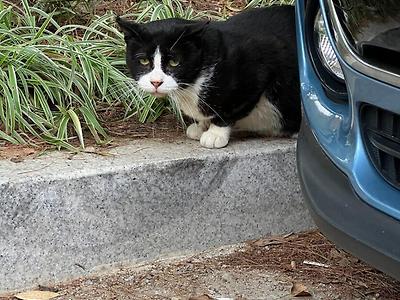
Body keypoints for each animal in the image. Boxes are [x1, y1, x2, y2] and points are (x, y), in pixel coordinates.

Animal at [117, 5, 302, 148]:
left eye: (174, 62)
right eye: (143, 60)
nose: (156, 82)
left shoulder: (258, 70)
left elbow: (230, 109)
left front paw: (215, 133)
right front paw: (201, 126)